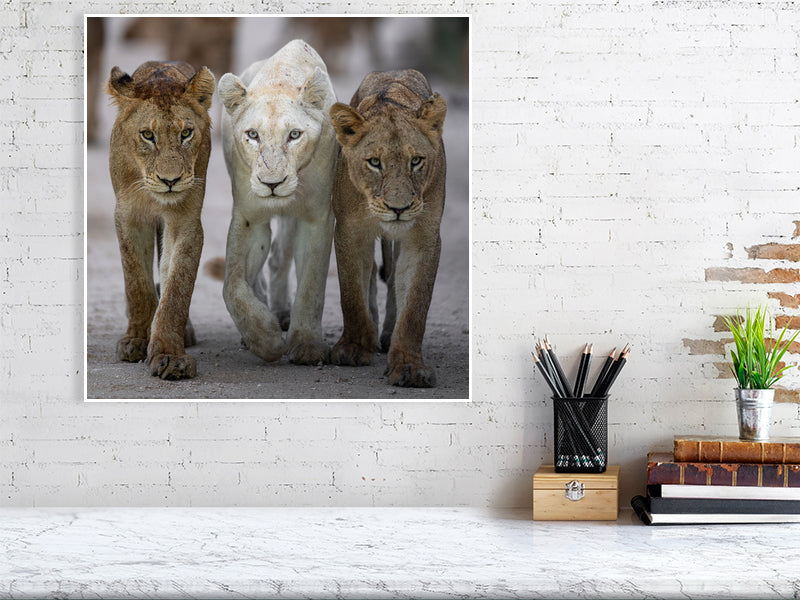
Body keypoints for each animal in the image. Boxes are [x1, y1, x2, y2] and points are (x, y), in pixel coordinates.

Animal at [106, 61, 215, 380]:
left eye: (186, 133)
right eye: (147, 135)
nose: (170, 181)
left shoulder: (185, 220)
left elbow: (177, 287)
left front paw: (169, 355)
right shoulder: (129, 216)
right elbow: (137, 283)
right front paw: (137, 340)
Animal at [218, 40, 338, 365]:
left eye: (294, 135)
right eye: (253, 134)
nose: (272, 184)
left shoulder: (316, 218)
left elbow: (311, 284)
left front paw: (307, 344)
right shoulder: (249, 217)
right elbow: (232, 286)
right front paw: (265, 339)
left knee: (279, 256)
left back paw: (283, 312)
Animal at [328, 69, 447, 387]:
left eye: (416, 161)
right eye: (374, 162)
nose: (398, 209)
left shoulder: (423, 238)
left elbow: (415, 305)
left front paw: (409, 366)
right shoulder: (349, 231)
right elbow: (351, 292)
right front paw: (353, 347)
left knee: (393, 281)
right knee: (370, 274)